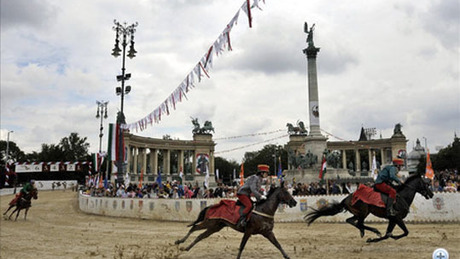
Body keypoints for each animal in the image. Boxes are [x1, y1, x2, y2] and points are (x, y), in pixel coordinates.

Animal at [304, 175, 434, 244]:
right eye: (426, 184)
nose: (431, 194)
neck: (402, 197)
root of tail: (346, 198)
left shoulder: (393, 219)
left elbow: (388, 234)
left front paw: (382, 237)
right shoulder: (396, 217)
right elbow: (405, 232)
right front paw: (375, 239)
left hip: (358, 213)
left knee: (351, 221)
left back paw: (363, 231)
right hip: (364, 211)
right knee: (359, 223)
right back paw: (373, 230)